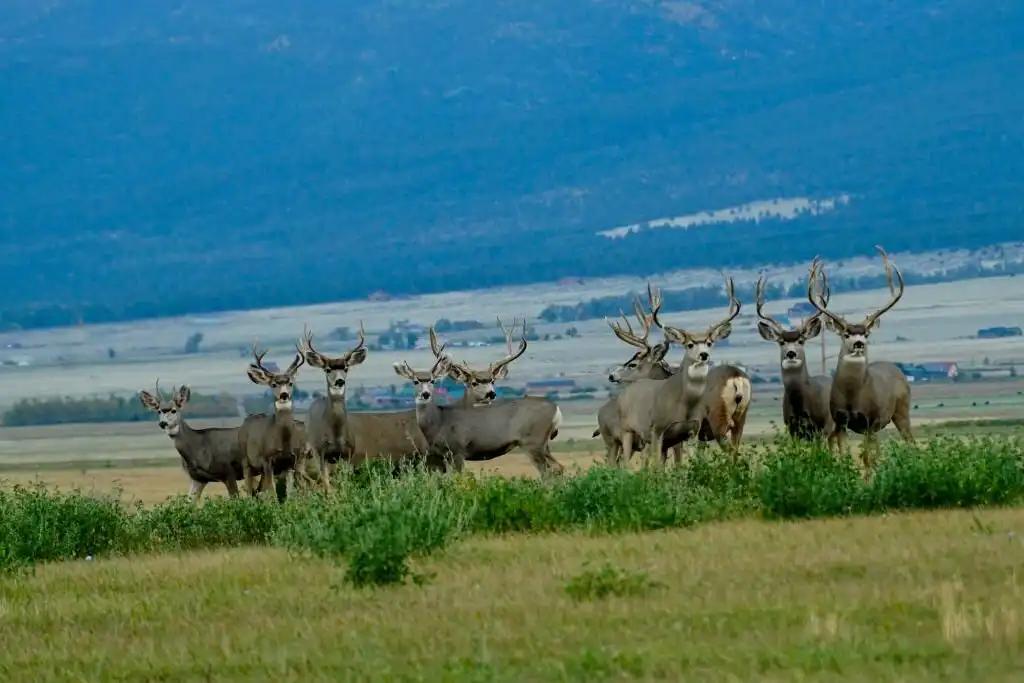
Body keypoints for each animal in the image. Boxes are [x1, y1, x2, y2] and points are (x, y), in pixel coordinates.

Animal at [237, 339, 305, 497]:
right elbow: (273, 491)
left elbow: (289, 492)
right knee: (249, 489)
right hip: (245, 460)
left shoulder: (290, 461)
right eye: (273, 384)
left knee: (258, 490)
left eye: (290, 383)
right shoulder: (267, 460)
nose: (284, 395)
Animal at [393, 331, 569, 475]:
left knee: (554, 469)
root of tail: (556, 408)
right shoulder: (443, 456)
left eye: (433, 381)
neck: (439, 421)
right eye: (415, 381)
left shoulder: (457, 450)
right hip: (542, 444)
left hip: (533, 441)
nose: (425, 394)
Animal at [802, 246, 917, 471]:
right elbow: (844, 455)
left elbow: (866, 458)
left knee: (909, 442)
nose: (858, 343)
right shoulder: (840, 420)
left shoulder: (869, 420)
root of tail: (896, 369)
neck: (852, 396)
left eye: (866, 333)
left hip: (901, 410)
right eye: (846, 333)